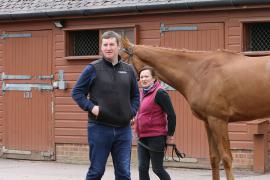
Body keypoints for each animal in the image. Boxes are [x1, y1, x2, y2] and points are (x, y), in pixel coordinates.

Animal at [121, 38, 270, 180]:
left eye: (122, 58)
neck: (199, 72)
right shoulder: (208, 121)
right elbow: (214, 158)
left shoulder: (219, 120)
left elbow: (226, 158)